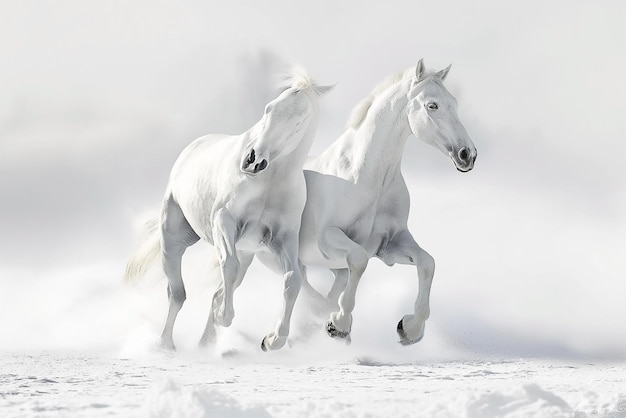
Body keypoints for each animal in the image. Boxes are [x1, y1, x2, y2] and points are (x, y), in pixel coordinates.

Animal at [123, 67, 334, 352]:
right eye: (269, 109)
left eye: (298, 122)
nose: (253, 160)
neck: (269, 183)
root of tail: (192, 148)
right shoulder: (225, 221)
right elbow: (228, 267)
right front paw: (225, 317)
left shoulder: (285, 238)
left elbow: (293, 280)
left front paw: (272, 340)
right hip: (174, 239)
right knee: (177, 293)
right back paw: (166, 344)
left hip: (247, 252)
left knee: (216, 290)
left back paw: (205, 343)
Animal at [300, 59, 476, 346]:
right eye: (432, 105)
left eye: (454, 103)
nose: (467, 155)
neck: (364, 177)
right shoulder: (327, 238)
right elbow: (358, 259)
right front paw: (339, 324)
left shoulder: (389, 246)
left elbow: (427, 263)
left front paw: (410, 328)